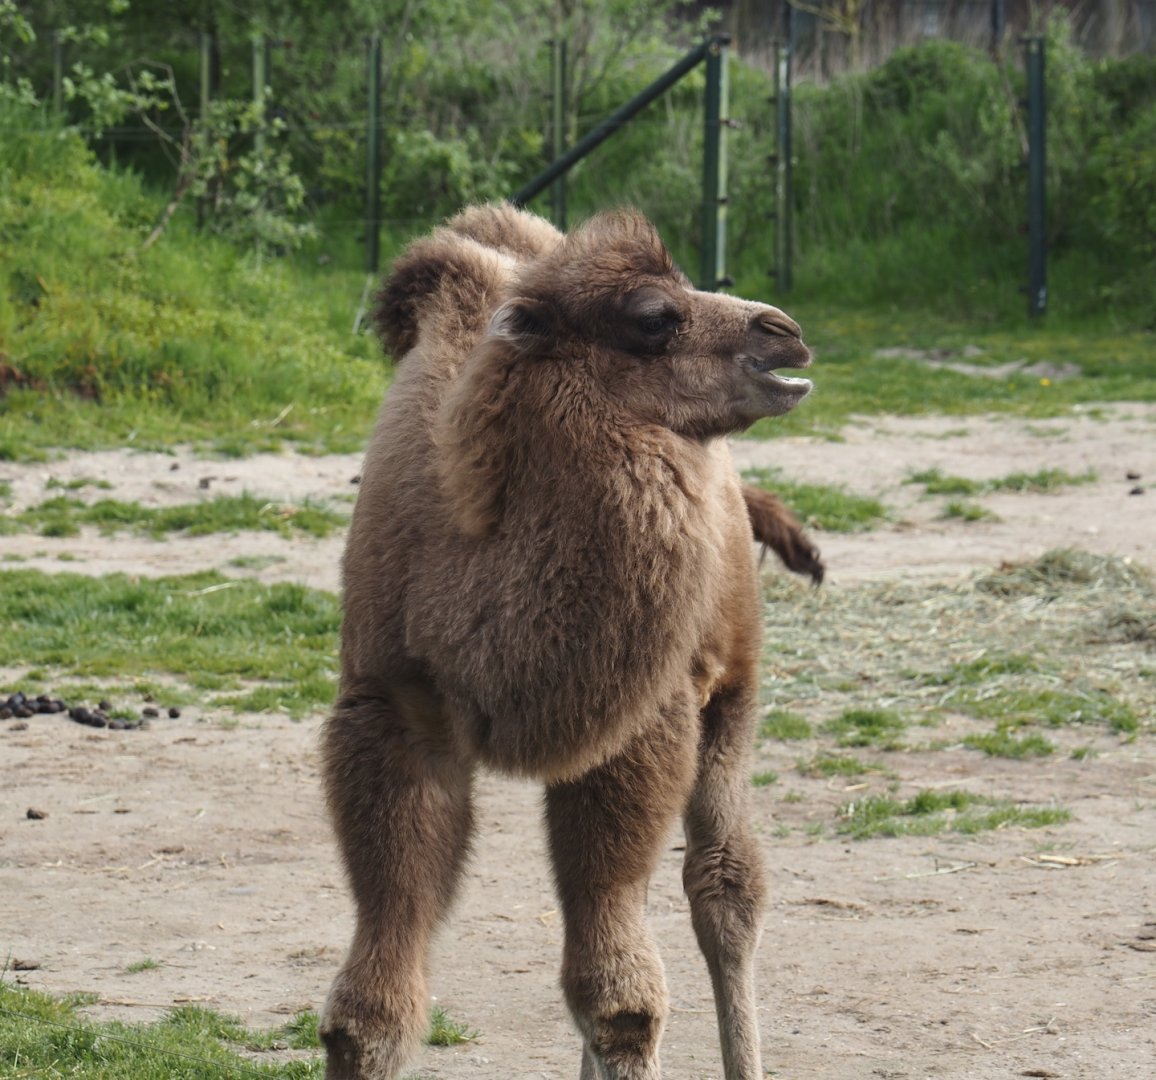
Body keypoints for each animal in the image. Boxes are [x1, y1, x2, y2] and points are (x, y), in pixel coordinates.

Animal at [320, 203, 815, 1080]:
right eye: (653, 317)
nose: (784, 332)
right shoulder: (391, 713)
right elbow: (369, 1009)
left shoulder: (643, 720)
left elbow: (620, 999)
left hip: (732, 687)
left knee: (723, 883)